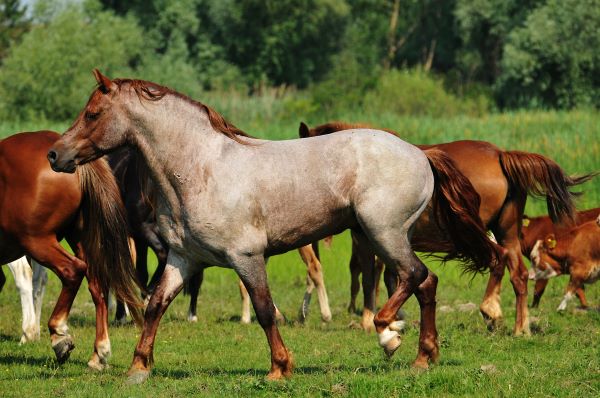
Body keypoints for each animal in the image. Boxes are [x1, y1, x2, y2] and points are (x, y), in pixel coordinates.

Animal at [0, 131, 140, 370]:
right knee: (96, 284)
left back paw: (58, 335)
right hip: (81, 239)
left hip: (37, 241)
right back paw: (99, 352)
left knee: (72, 270)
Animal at [45, 70, 496, 384]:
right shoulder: (182, 258)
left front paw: (279, 368)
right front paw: (138, 368)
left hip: (382, 232)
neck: (200, 168)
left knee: (414, 275)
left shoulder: (246, 256)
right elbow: (156, 304)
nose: (55, 154)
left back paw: (389, 333)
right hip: (388, 236)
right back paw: (423, 357)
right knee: (427, 282)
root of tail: (420, 152)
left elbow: (264, 310)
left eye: (92, 113)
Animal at [298, 121, 592, 336]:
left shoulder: (369, 238)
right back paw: (520, 327)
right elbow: (390, 275)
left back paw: (491, 309)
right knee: (517, 273)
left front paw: (372, 318)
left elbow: (371, 275)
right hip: (506, 230)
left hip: (480, 230)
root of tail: (500, 155)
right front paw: (395, 317)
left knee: (496, 261)